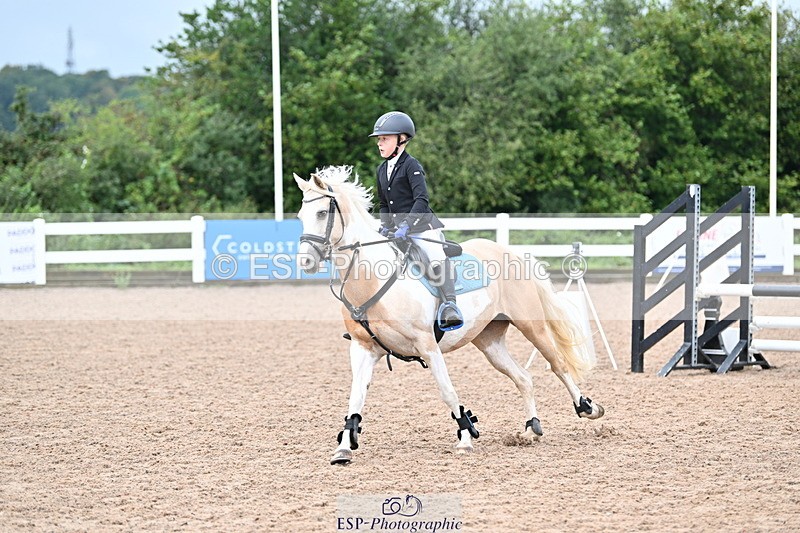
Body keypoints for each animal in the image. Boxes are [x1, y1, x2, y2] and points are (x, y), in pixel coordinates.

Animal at [294, 166, 604, 465]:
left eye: (322, 213)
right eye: (300, 216)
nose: (305, 262)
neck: (372, 280)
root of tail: (510, 252)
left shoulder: (428, 347)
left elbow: (447, 391)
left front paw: (465, 436)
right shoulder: (363, 348)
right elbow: (355, 399)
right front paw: (344, 448)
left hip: (532, 326)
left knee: (558, 365)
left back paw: (587, 408)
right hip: (489, 341)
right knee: (523, 378)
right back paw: (531, 429)